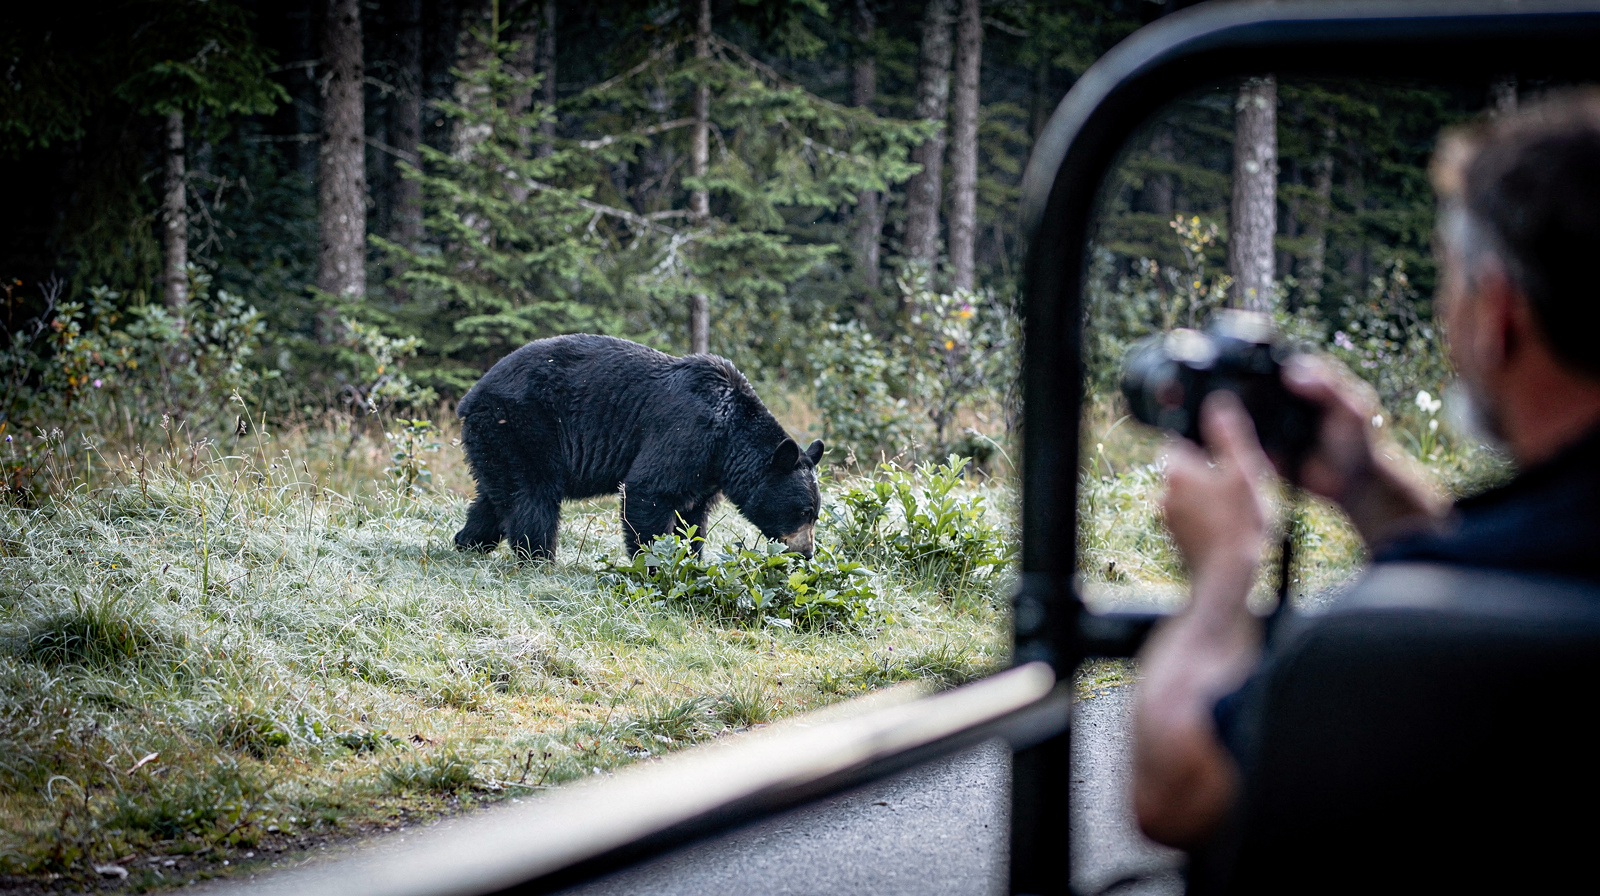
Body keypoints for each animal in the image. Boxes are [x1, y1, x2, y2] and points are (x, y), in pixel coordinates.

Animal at [453, 334, 824, 561]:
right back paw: (538, 555)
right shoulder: (686, 434)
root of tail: (470, 397)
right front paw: (654, 561)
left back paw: (468, 541)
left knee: (496, 496)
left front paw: (690, 559)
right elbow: (649, 490)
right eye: (803, 512)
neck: (729, 437)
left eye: (814, 513)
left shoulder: (708, 470)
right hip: (524, 425)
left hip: (498, 439)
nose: (806, 552)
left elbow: (693, 517)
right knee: (533, 495)